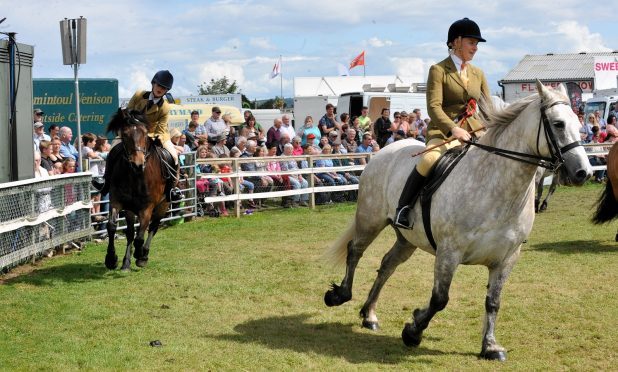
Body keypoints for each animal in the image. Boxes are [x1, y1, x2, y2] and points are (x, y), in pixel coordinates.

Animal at [103, 107, 170, 270]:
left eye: (145, 134)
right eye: (125, 135)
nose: (138, 164)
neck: (135, 176)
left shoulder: (148, 207)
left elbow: (140, 236)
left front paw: (140, 255)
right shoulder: (117, 201)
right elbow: (112, 227)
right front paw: (111, 258)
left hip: (163, 205)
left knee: (153, 227)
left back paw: (143, 255)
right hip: (130, 209)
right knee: (130, 232)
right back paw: (126, 262)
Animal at [320, 81, 588, 360]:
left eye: (578, 124)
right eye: (558, 124)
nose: (583, 172)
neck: (496, 187)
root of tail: (385, 150)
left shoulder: (507, 258)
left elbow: (493, 302)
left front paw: (490, 346)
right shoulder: (449, 252)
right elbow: (440, 299)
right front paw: (413, 331)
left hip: (407, 239)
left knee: (387, 265)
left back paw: (369, 314)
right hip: (370, 220)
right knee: (355, 250)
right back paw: (339, 295)